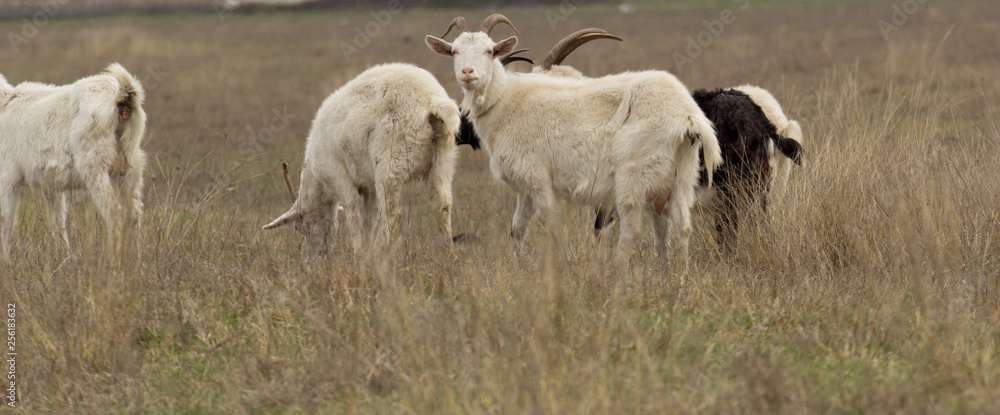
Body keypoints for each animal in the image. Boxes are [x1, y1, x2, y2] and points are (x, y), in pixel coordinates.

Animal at [0, 63, 147, 260]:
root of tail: (123, 97)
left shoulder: (8, 178)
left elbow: (6, 222)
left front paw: (6, 262)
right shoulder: (51, 186)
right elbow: (58, 222)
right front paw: (65, 257)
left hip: (94, 165)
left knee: (114, 210)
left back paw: (111, 261)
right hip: (130, 166)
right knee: (134, 213)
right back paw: (135, 261)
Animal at [263, 63, 460, 256]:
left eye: (298, 226)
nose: (317, 254)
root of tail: (431, 101)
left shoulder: (339, 176)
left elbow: (353, 213)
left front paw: (359, 252)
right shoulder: (368, 186)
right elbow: (369, 218)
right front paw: (368, 250)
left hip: (390, 162)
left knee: (393, 212)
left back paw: (387, 253)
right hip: (443, 159)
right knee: (442, 205)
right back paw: (448, 254)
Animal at [426, 15, 722, 268]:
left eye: (489, 50)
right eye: (454, 51)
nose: (467, 72)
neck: (509, 101)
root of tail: (687, 116)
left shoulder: (537, 178)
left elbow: (554, 224)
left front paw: (568, 264)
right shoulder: (525, 187)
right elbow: (516, 228)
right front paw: (518, 264)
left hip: (632, 177)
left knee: (633, 230)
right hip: (681, 176)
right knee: (682, 226)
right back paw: (677, 277)